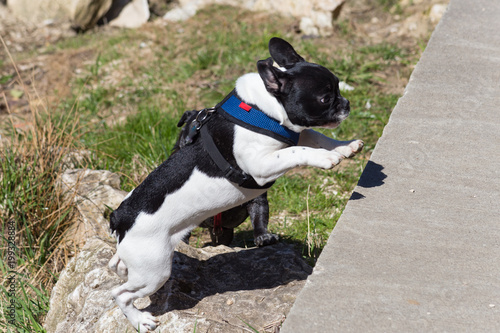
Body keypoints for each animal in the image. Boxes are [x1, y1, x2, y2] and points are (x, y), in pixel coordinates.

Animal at [108, 37, 364, 330]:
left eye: (338, 86)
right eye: (324, 98)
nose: (346, 103)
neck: (265, 109)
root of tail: (120, 217)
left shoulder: (295, 133)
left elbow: (316, 136)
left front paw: (344, 146)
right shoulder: (261, 165)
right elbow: (296, 151)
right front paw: (326, 157)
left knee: (120, 271)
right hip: (154, 269)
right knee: (120, 294)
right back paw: (140, 321)